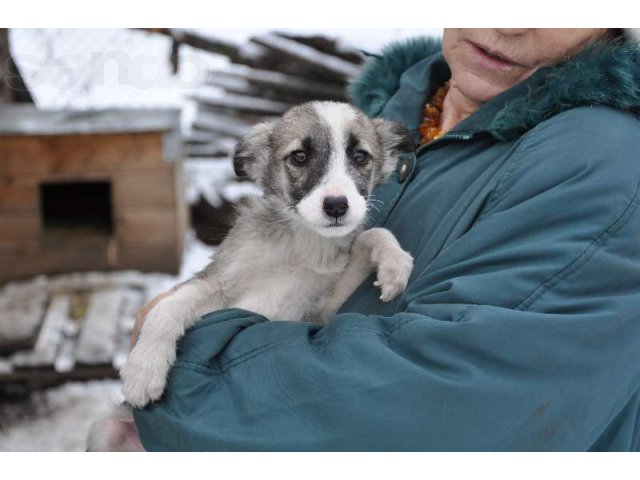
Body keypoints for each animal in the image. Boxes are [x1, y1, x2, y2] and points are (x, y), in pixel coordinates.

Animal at [89, 100, 416, 450]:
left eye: (360, 157)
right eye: (300, 156)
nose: (337, 206)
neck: (300, 243)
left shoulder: (321, 309)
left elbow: (373, 235)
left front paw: (395, 263)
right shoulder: (216, 282)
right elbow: (170, 306)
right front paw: (144, 368)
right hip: (104, 430)